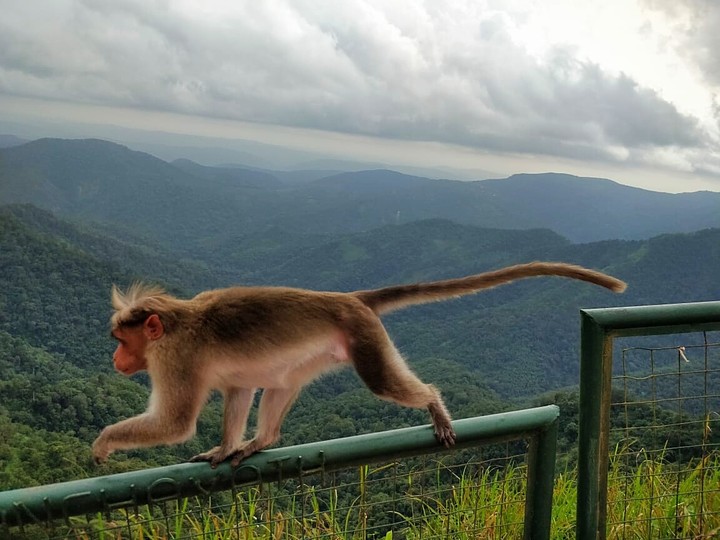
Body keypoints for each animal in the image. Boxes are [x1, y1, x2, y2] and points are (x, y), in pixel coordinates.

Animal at [92, 262, 626, 467]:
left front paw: (103, 444)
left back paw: (434, 404)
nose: (116, 357)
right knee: (279, 383)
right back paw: (262, 441)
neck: (176, 321)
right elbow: (239, 389)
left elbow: (176, 423)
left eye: (121, 339)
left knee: (383, 382)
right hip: (322, 351)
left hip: (365, 338)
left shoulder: (175, 359)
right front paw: (225, 449)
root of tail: (349, 298)